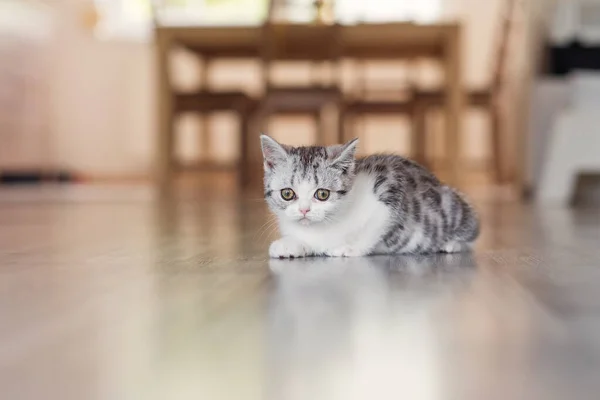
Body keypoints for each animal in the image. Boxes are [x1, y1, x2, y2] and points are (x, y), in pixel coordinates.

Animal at [260, 135, 480, 260]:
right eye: (287, 193)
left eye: (322, 194)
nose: (304, 210)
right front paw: (289, 244)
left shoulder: (389, 186)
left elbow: (374, 228)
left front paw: (349, 248)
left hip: (451, 207)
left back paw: (451, 244)